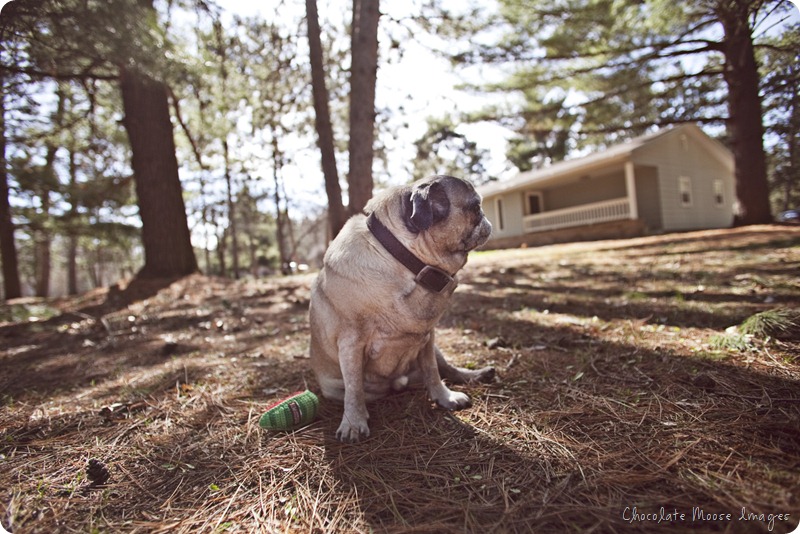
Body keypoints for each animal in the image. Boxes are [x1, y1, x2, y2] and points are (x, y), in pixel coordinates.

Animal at [310, 175, 494, 444]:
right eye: (475, 207)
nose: (487, 219)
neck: (405, 261)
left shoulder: (427, 338)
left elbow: (433, 371)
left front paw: (443, 397)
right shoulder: (351, 344)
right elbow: (354, 389)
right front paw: (353, 422)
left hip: (435, 349)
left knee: (446, 369)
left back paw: (476, 375)